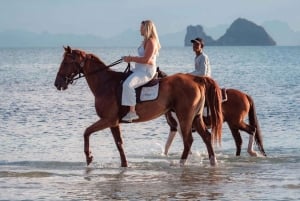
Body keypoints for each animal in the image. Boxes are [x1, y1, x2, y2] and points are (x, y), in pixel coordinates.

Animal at [54, 46, 223, 166]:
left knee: (188, 140)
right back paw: (213, 161)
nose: (57, 83)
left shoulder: (108, 120)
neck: (105, 83)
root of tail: (196, 79)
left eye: (66, 62)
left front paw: (89, 157)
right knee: (206, 137)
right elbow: (119, 143)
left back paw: (181, 163)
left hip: (184, 117)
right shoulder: (114, 123)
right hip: (196, 117)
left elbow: (86, 132)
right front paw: (124, 165)